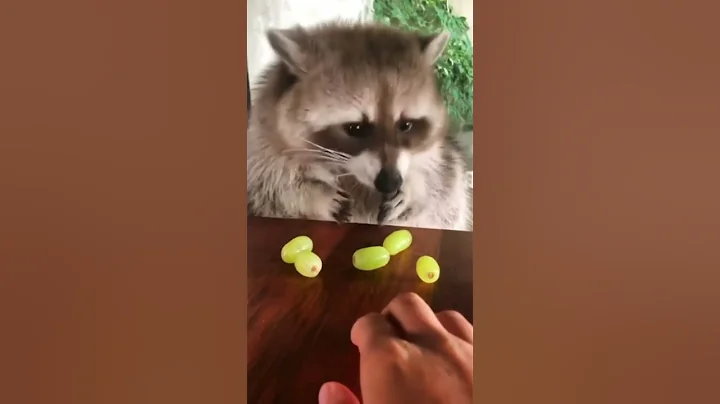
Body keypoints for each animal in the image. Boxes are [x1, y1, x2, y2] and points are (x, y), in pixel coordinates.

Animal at [247, 21, 472, 231]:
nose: (390, 182)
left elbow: (443, 181)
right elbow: (274, 188)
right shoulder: (263, 145)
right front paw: (313, 195)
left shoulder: (441, 159)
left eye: (406, 125)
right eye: (355, 128)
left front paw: (414, 188)